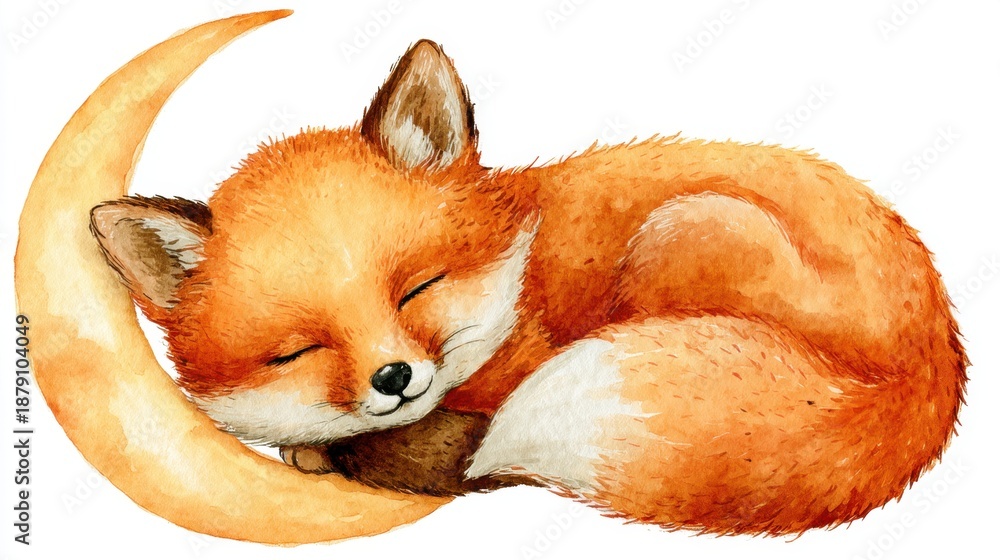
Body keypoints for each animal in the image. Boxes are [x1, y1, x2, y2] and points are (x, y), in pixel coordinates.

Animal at [89, 38, 966, 535]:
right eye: (298, 350)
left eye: (417, 288)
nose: (394, 378)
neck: (522, 273)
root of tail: (932, 369)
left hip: (683, 230)